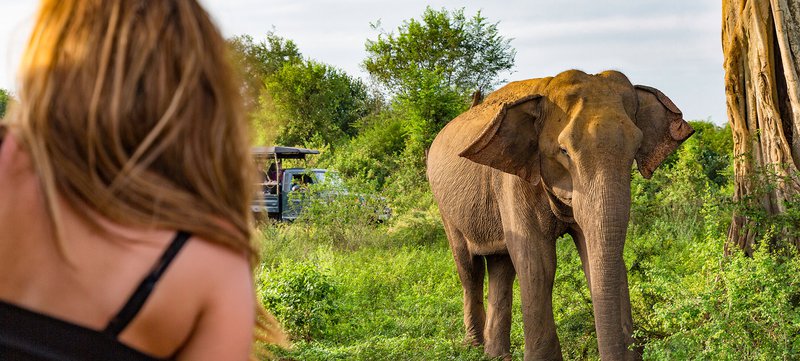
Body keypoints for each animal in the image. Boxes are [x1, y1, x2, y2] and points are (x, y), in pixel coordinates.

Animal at [424, 69, 692, 358]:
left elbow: (593, 255)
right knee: (469, 268)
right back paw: (474, 347)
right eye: (564, 151)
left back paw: (497, 356)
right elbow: (538, 263)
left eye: (636, 148)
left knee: (501, 265)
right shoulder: (514, 181)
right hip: (444, 205)